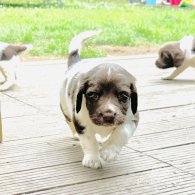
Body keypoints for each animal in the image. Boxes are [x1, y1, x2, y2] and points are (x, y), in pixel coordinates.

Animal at [59, 30, 139, 169]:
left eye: (123, 96)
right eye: (93, 95)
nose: (108, 116)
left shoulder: (132, 118)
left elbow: (122, 132)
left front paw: (109, 151)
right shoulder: (81, 121)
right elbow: (89, 141)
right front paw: (92, 159)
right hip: (65, 109)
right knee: (70, 122)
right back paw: (76, 135)